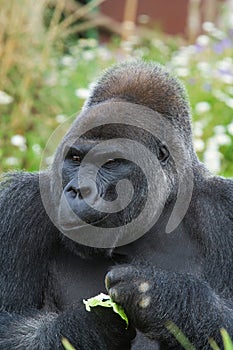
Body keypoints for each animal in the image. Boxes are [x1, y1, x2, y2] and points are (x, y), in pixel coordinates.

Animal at [0, 60, 233, 350]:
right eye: (75, 159)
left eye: (110, 162)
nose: (79, 189)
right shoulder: (20, 208)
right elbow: (6, 322)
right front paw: (87, 326)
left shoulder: (223, 208)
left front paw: (161, 297)